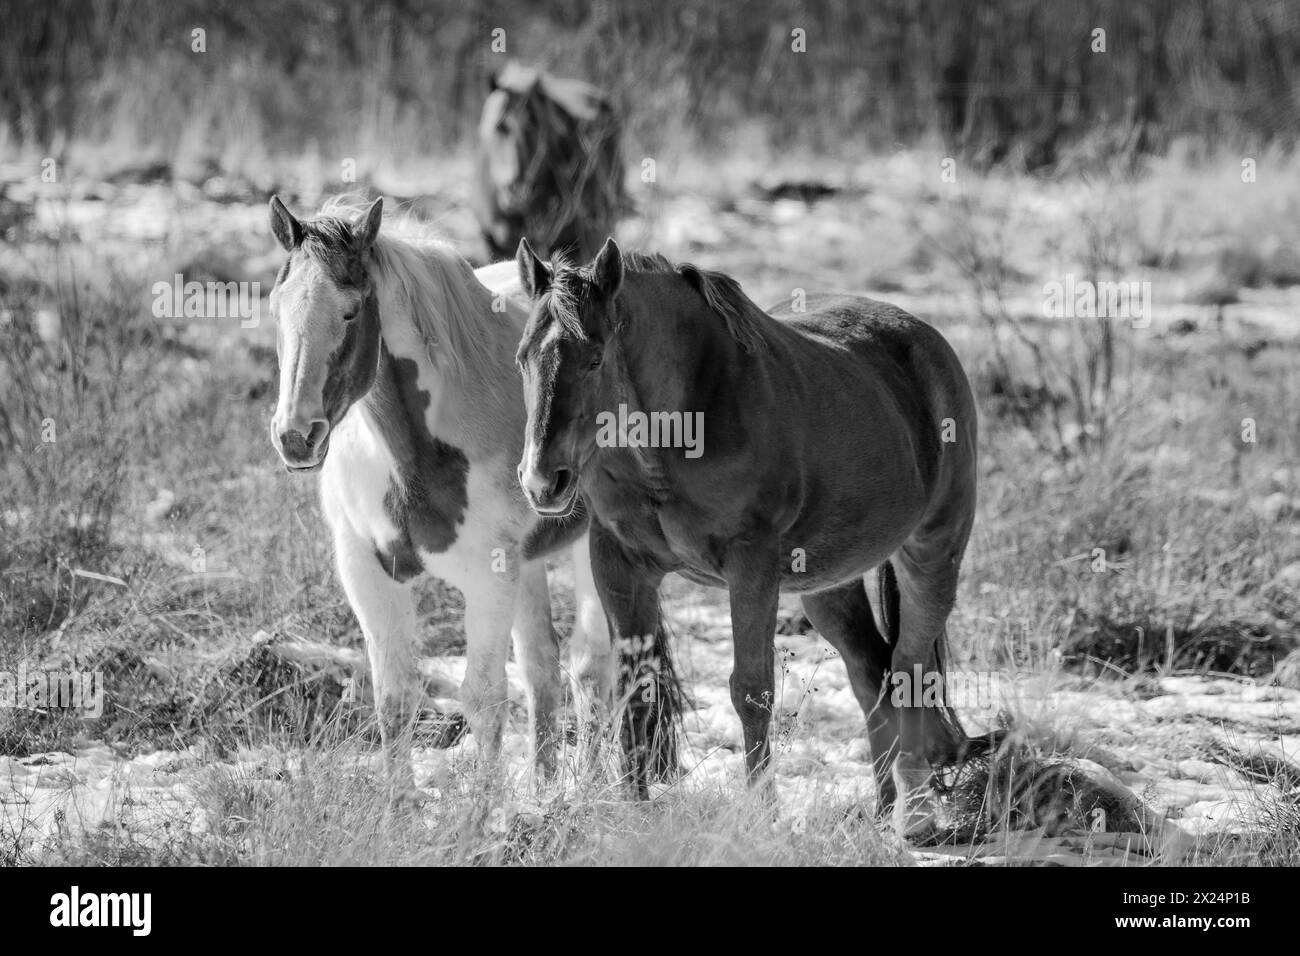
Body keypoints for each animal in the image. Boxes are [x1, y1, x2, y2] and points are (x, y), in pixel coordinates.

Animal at [264, 195, 676, 792]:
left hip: (588, 550)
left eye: (349, 311)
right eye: (277, 309)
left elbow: (483, 699)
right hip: (529, 563)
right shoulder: (366, 570)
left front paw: (482, 815)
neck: (413, 454)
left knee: (589, 667)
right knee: (542, 667)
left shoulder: (488, 578)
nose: (296, 434)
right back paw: (544, 792)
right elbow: (394, 698)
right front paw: (401, 807)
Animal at [512, 237, 996, 836]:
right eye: (523, 359)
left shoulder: (751, 567)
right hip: (827, 586)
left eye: (595, 358)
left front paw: (761, 815)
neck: (683, 424)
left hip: (932, 553)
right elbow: (634, 691)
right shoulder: (620, 565)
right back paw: (883, 811)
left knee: (907, 669)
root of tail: (927, 341)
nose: (542, 480)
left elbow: (751, 692)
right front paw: (635, 814)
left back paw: (916, 814)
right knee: (871, 671)